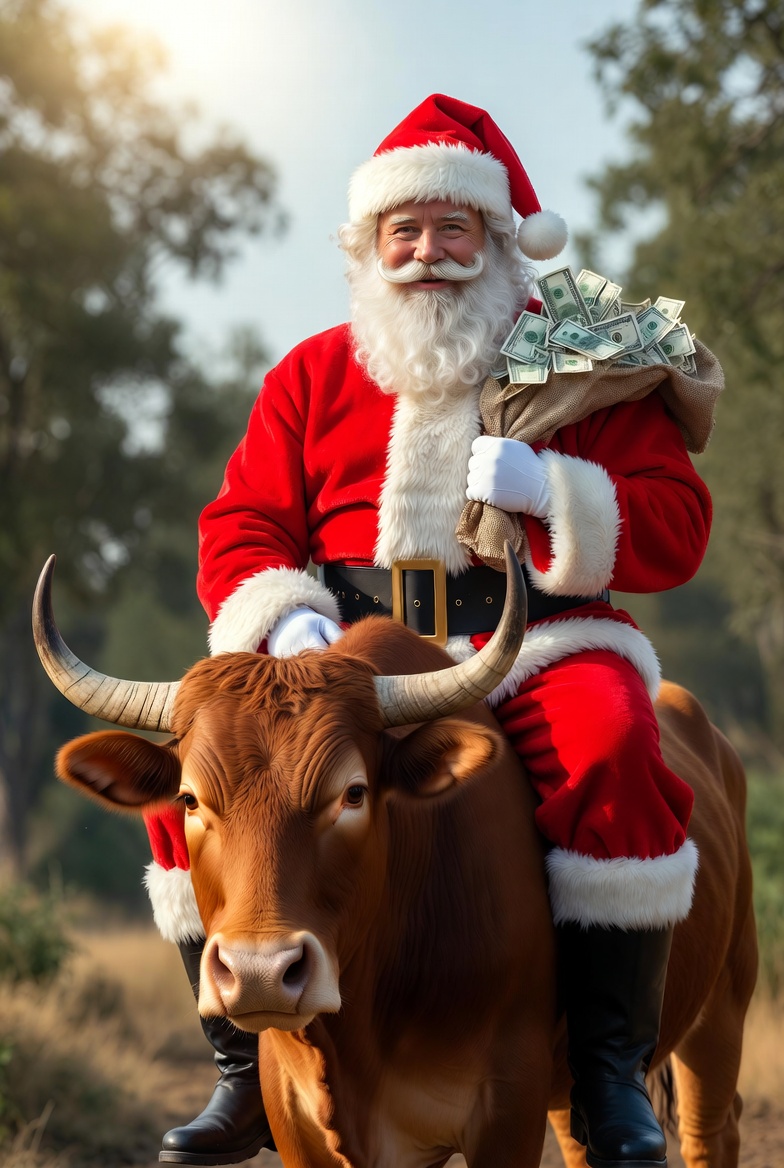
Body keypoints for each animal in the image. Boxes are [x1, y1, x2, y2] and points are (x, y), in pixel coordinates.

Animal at [33, 550, 757, 1168]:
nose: (261, 973)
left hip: (721, 1013)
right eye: (188, 798)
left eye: (353, 793)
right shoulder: (297, 1120)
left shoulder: (504, 1109)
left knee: (711, 1131)